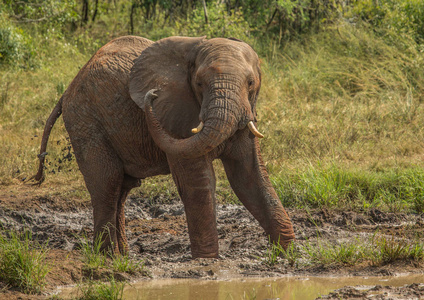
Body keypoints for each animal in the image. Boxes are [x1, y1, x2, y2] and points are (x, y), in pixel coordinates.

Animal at [33, 35, 294, 258]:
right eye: (199, 83)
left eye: (250, 83)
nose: (152, 94)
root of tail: (69, 87)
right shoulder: (176, 114)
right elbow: (199, 182)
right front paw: (207, 261)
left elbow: (249, 177)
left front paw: (286, 255)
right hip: (85, 120)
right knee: (107, 183)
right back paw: (107, 259)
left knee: (121, 189)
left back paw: (124, 257)